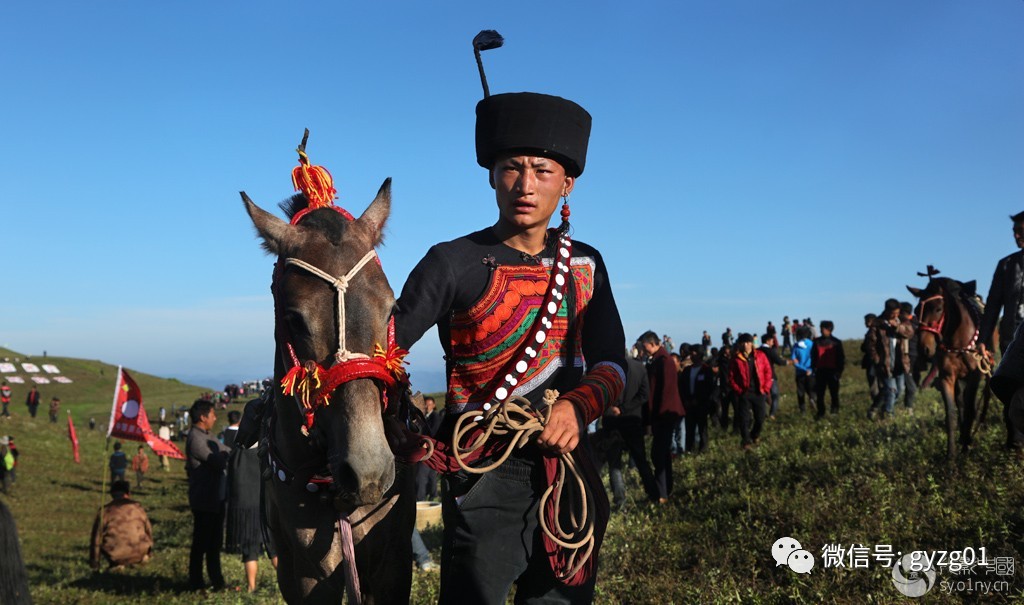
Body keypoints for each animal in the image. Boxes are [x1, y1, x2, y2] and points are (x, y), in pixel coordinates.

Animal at [909, 276, 987, 460]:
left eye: (938, 309)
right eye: (916, 310)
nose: (924, 349)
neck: (958, 343)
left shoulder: (974, 377)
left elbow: (971, 409)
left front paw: (966, 446)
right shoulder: (947, 378)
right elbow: (951, 414)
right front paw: (951, 455)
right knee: (961, 402)